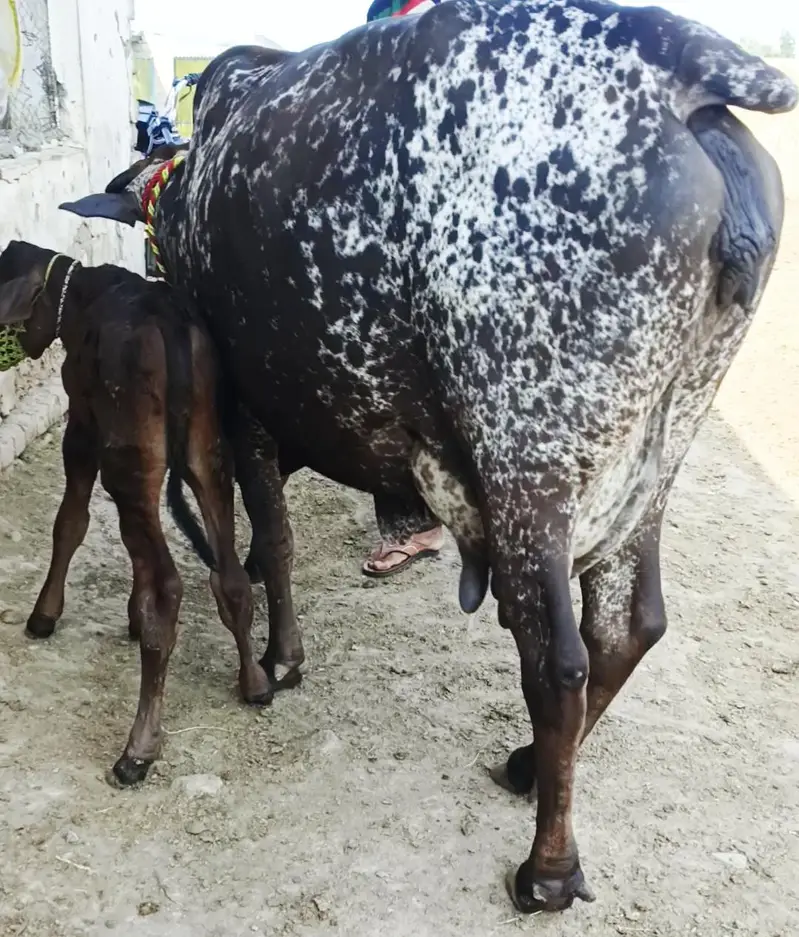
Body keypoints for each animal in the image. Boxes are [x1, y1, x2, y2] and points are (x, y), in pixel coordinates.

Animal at [0, 241, 273, 784]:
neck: (81, 295)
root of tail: (169, 323)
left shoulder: (82, 429)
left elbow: (71, 523)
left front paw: (44, 614)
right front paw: (128, 613)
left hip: (130, 457)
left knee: (168, 590)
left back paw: (139, 748)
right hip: (206, 455)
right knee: (229, 575)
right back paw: (254, 680)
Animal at [58, 0, 795, 914]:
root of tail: (685, 68)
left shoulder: (246, 414)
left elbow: (272, 540)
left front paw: (280, 657)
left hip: (528, 459)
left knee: (557, 659)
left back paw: (548, 867)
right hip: (656, 459)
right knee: (629, 627)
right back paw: (528, 766)